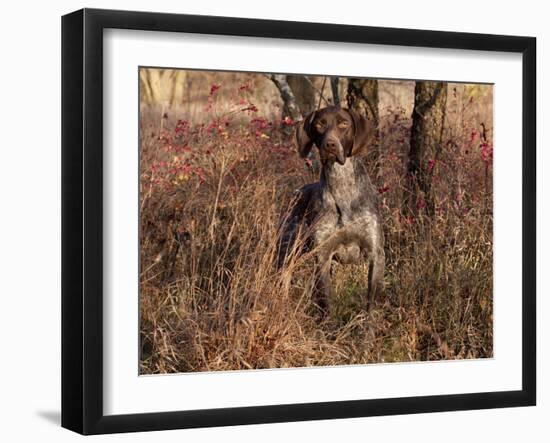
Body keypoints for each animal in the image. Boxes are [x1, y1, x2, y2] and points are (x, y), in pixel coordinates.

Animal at [278, 106, 386, 314]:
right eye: (320, 124)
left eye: (344, 124)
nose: (330, 145)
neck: (342, 188)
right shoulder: (323, 255)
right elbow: (326, 299)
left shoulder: (375, 254)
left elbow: (372, 305)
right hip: (288, 252)